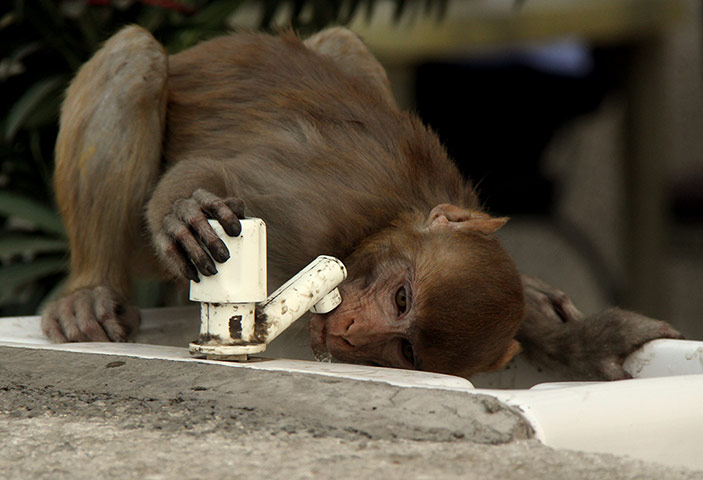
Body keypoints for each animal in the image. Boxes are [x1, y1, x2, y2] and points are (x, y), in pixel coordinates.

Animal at [41, 26, 680, 380]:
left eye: (404, 349)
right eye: (401, 298)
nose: (350, 331)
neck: (382, 222)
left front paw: (582, 341)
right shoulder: (314, 210)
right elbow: (214, 175)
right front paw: (186, 215)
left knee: (340, 43)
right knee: (137, 56)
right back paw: (90, 289)